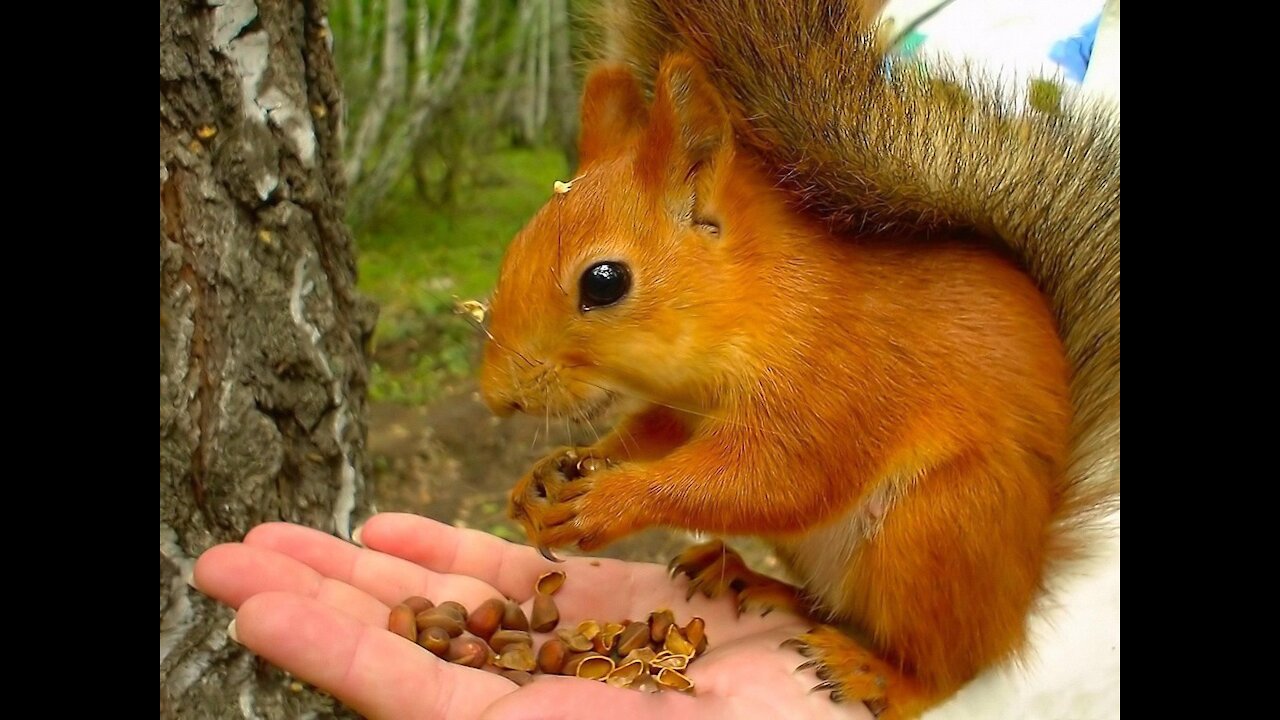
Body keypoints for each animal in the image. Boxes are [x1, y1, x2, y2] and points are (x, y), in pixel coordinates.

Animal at [481, 56, 1080, 717]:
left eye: (605, 281)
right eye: (517, 245)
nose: (496, 395)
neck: (757, 298)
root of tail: (1021, 593)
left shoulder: (827, 380)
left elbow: (777, 481)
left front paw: (607, 502)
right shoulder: (682, 406)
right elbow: (654, 437)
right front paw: (552, 474)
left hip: (940, 530)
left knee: (947, 667)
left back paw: (874, 675)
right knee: (831, 606)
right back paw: (749, 580)